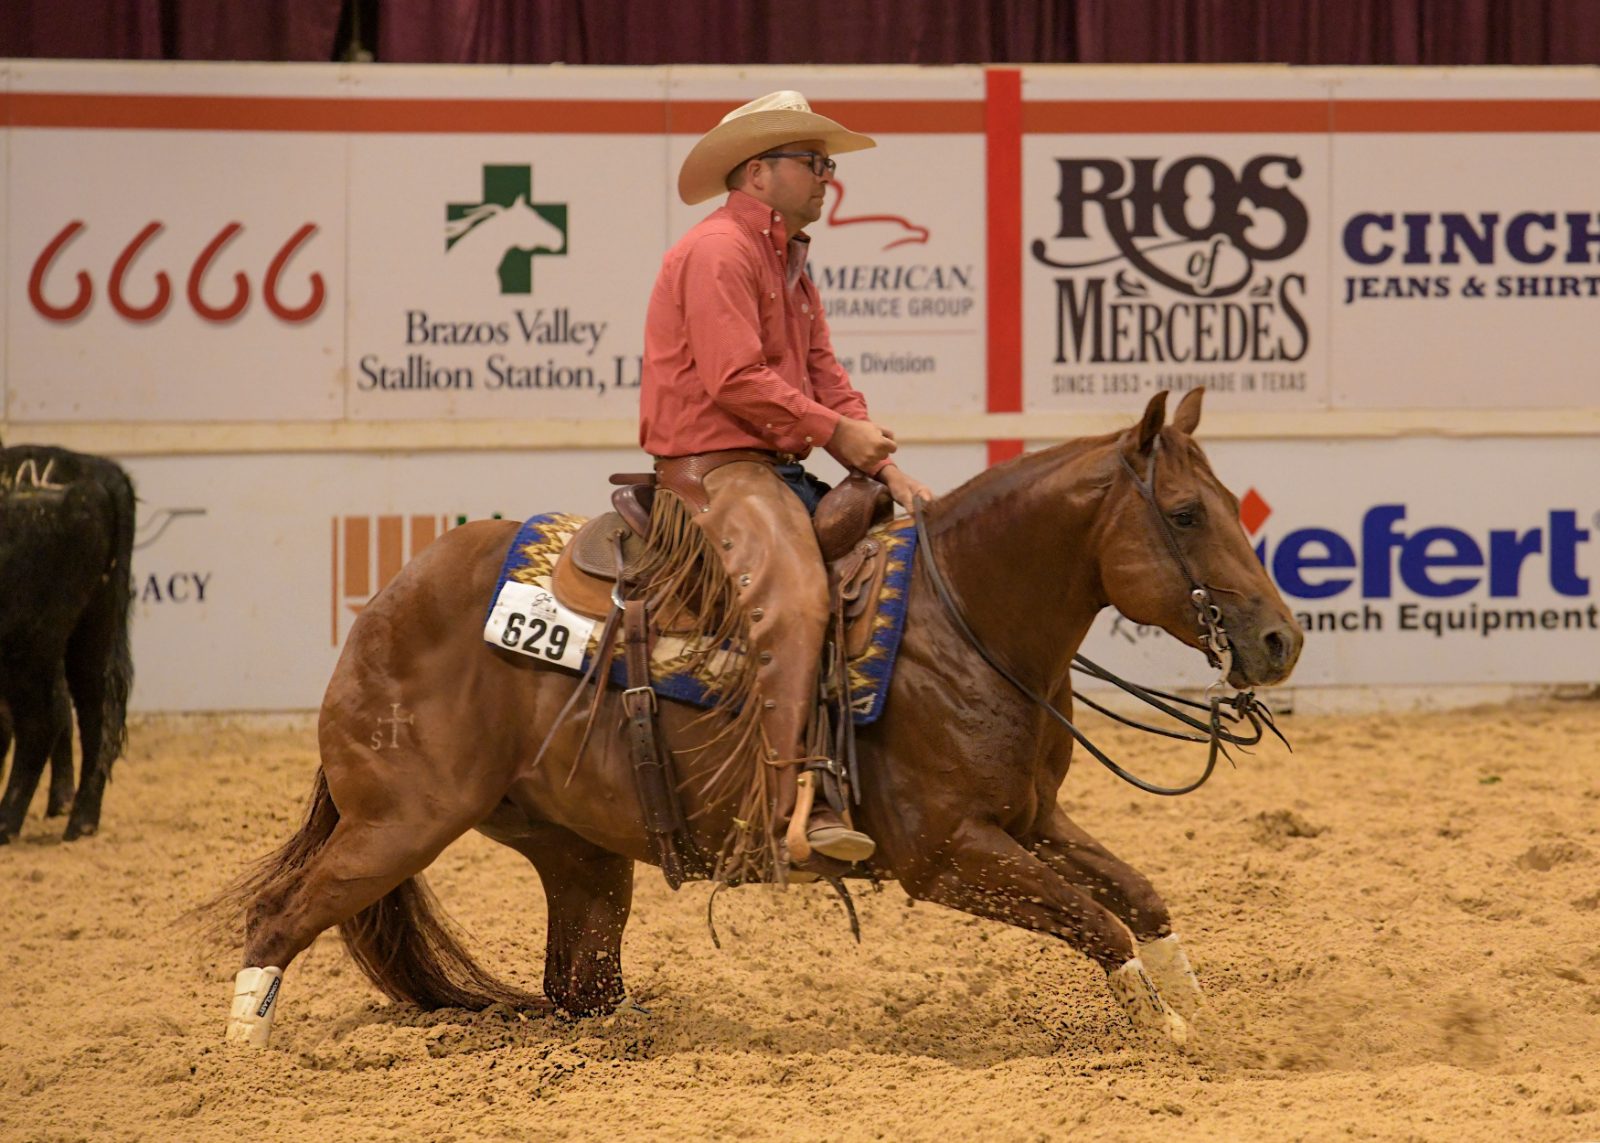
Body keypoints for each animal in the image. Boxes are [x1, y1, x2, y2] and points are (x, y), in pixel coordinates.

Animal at [0, 444, 136, 843]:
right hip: (91, 629)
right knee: (94, 713)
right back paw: (80, 820)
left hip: (28, 643)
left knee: (40, 723)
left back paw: (6, 823)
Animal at [216, 388, 1302, 1049]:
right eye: (1185, 513)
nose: (1279, 640)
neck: (964, 616)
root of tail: (382, 610)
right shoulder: (947, 852)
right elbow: (1096, 921)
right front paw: (1163, 1031)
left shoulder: (1029, 818)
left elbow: (1140, 897)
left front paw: (1196, 1011)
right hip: (401, 821)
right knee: (279, 918)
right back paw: (241, 1061)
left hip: (575, 852)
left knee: (578, 985)